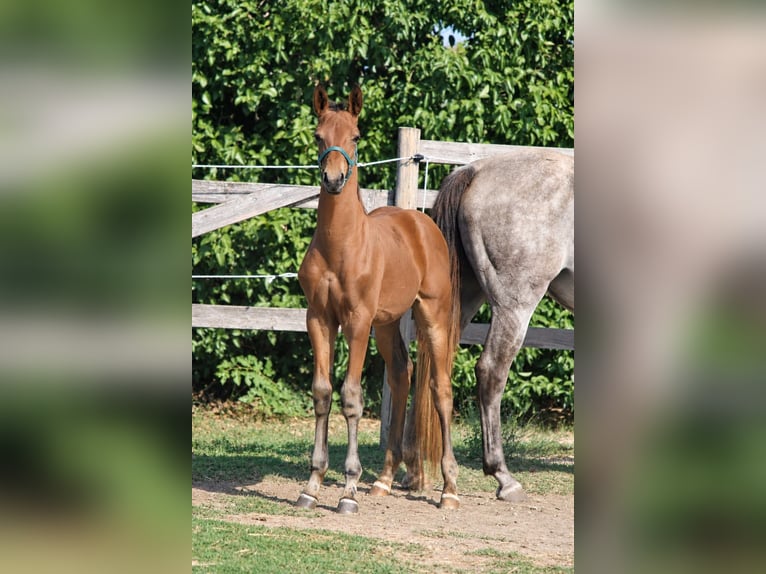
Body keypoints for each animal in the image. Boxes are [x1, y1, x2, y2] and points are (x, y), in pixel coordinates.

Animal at [295, 84, 462, 513]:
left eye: (355, 136)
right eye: (318, 135)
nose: (333, 179)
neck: (340, 247)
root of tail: (421, 222)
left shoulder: (356, 321)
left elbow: (351, 397)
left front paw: (348, 490)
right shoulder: (319, 319)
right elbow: (322, 393)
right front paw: (312, 484)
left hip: (432, 315)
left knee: (440, 388)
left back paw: (449, 490)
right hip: (386, 324)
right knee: (402, 373)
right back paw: (384, 480)